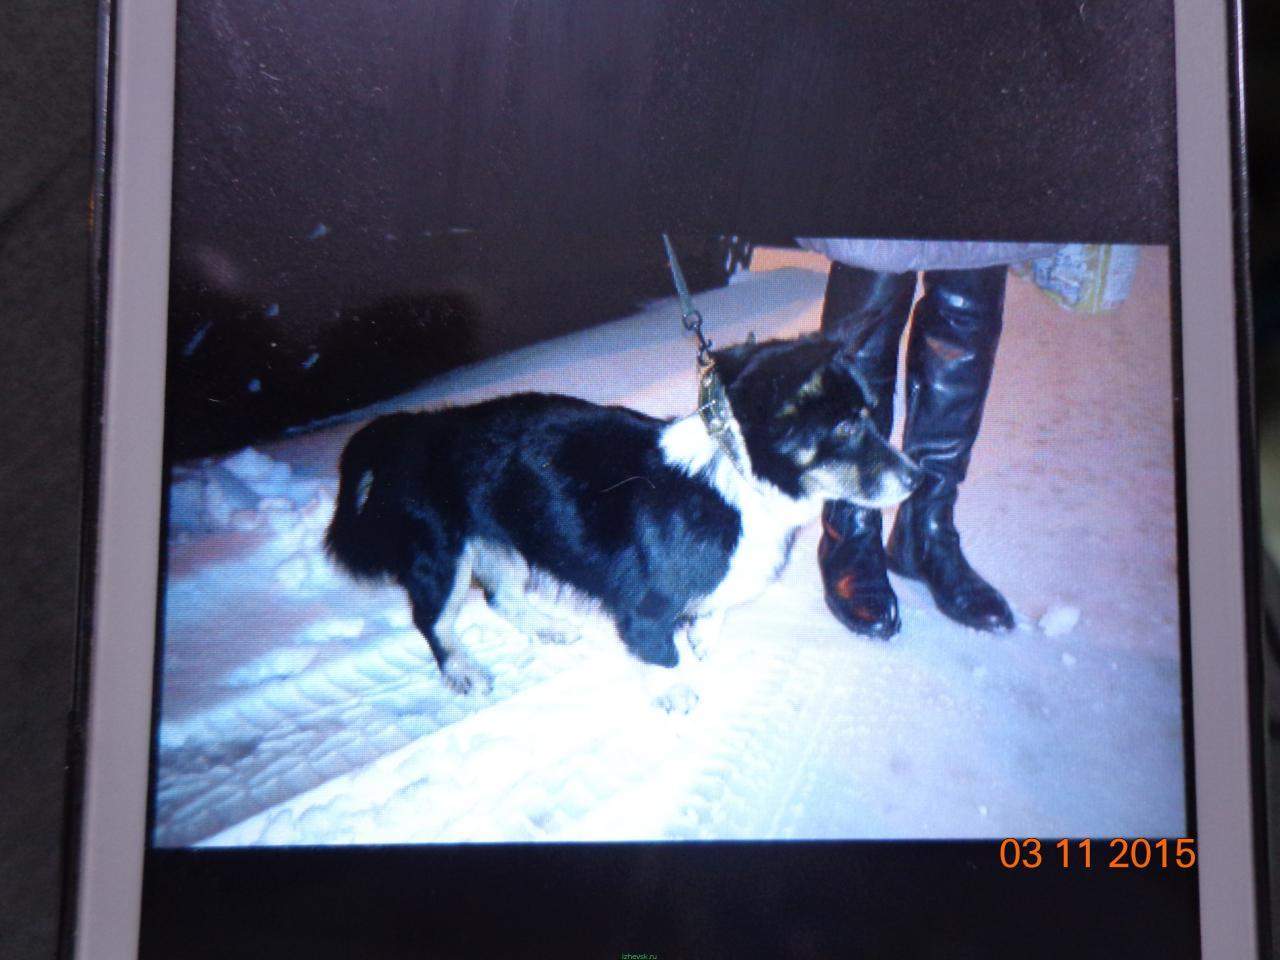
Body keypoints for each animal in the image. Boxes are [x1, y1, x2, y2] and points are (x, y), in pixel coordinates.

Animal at [324, 335, 922, 709]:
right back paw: (462, 671)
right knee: (435, 622)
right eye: (846, 427)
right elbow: (661, 651)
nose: (919, 478)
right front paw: (676, 691)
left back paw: (547, 626)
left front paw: (706, 645)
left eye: (872, 414)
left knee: (499, 596)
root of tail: (412, 427)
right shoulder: (645, 607)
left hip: (508, 542)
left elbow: (711, 617)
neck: (736, 476)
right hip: (442, 555)